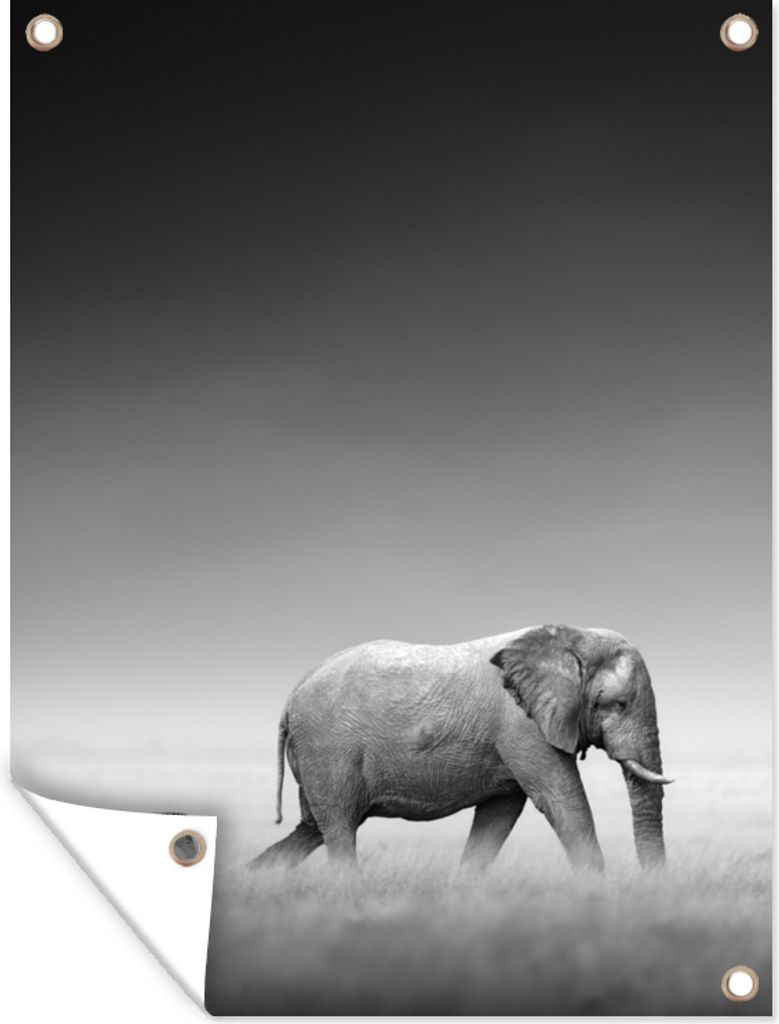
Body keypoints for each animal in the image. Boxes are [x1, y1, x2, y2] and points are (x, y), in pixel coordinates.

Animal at [250, 624, 671, 872]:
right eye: (617, 704)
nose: (650, 888)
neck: (572, 636)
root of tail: (291, 697)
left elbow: (498, 816)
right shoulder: (521, 726)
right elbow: (563, 802)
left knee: (312, 828)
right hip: (328, 750)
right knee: (338, 827)